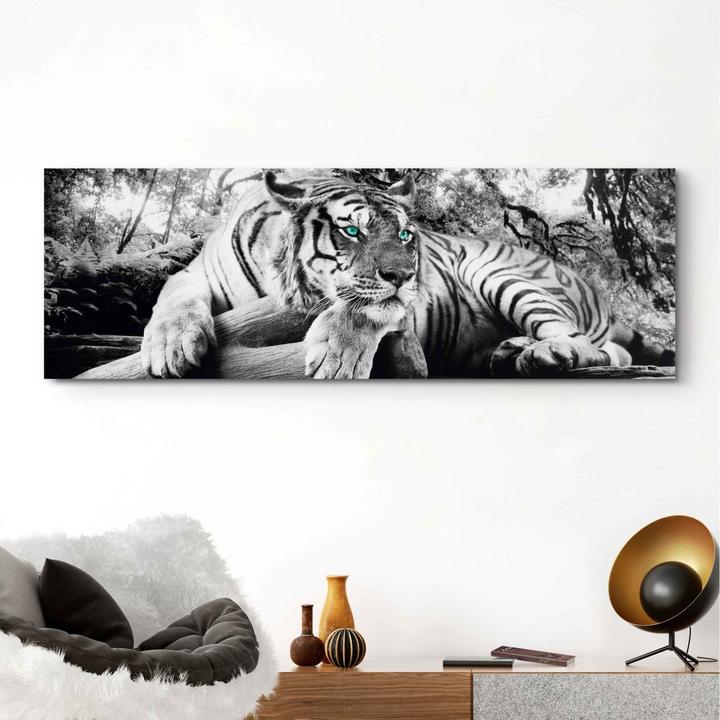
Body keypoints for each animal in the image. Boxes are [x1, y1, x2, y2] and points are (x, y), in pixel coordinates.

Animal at [141, 171, 675, 379]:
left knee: (594, 346)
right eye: (351, 230)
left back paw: (546, 354)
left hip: (502, 274)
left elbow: (363, 310)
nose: (402, 274)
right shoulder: (197, 272)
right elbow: (173, 291)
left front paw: (336, 356)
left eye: (403, 235)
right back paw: (508, 351)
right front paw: (170, 345)